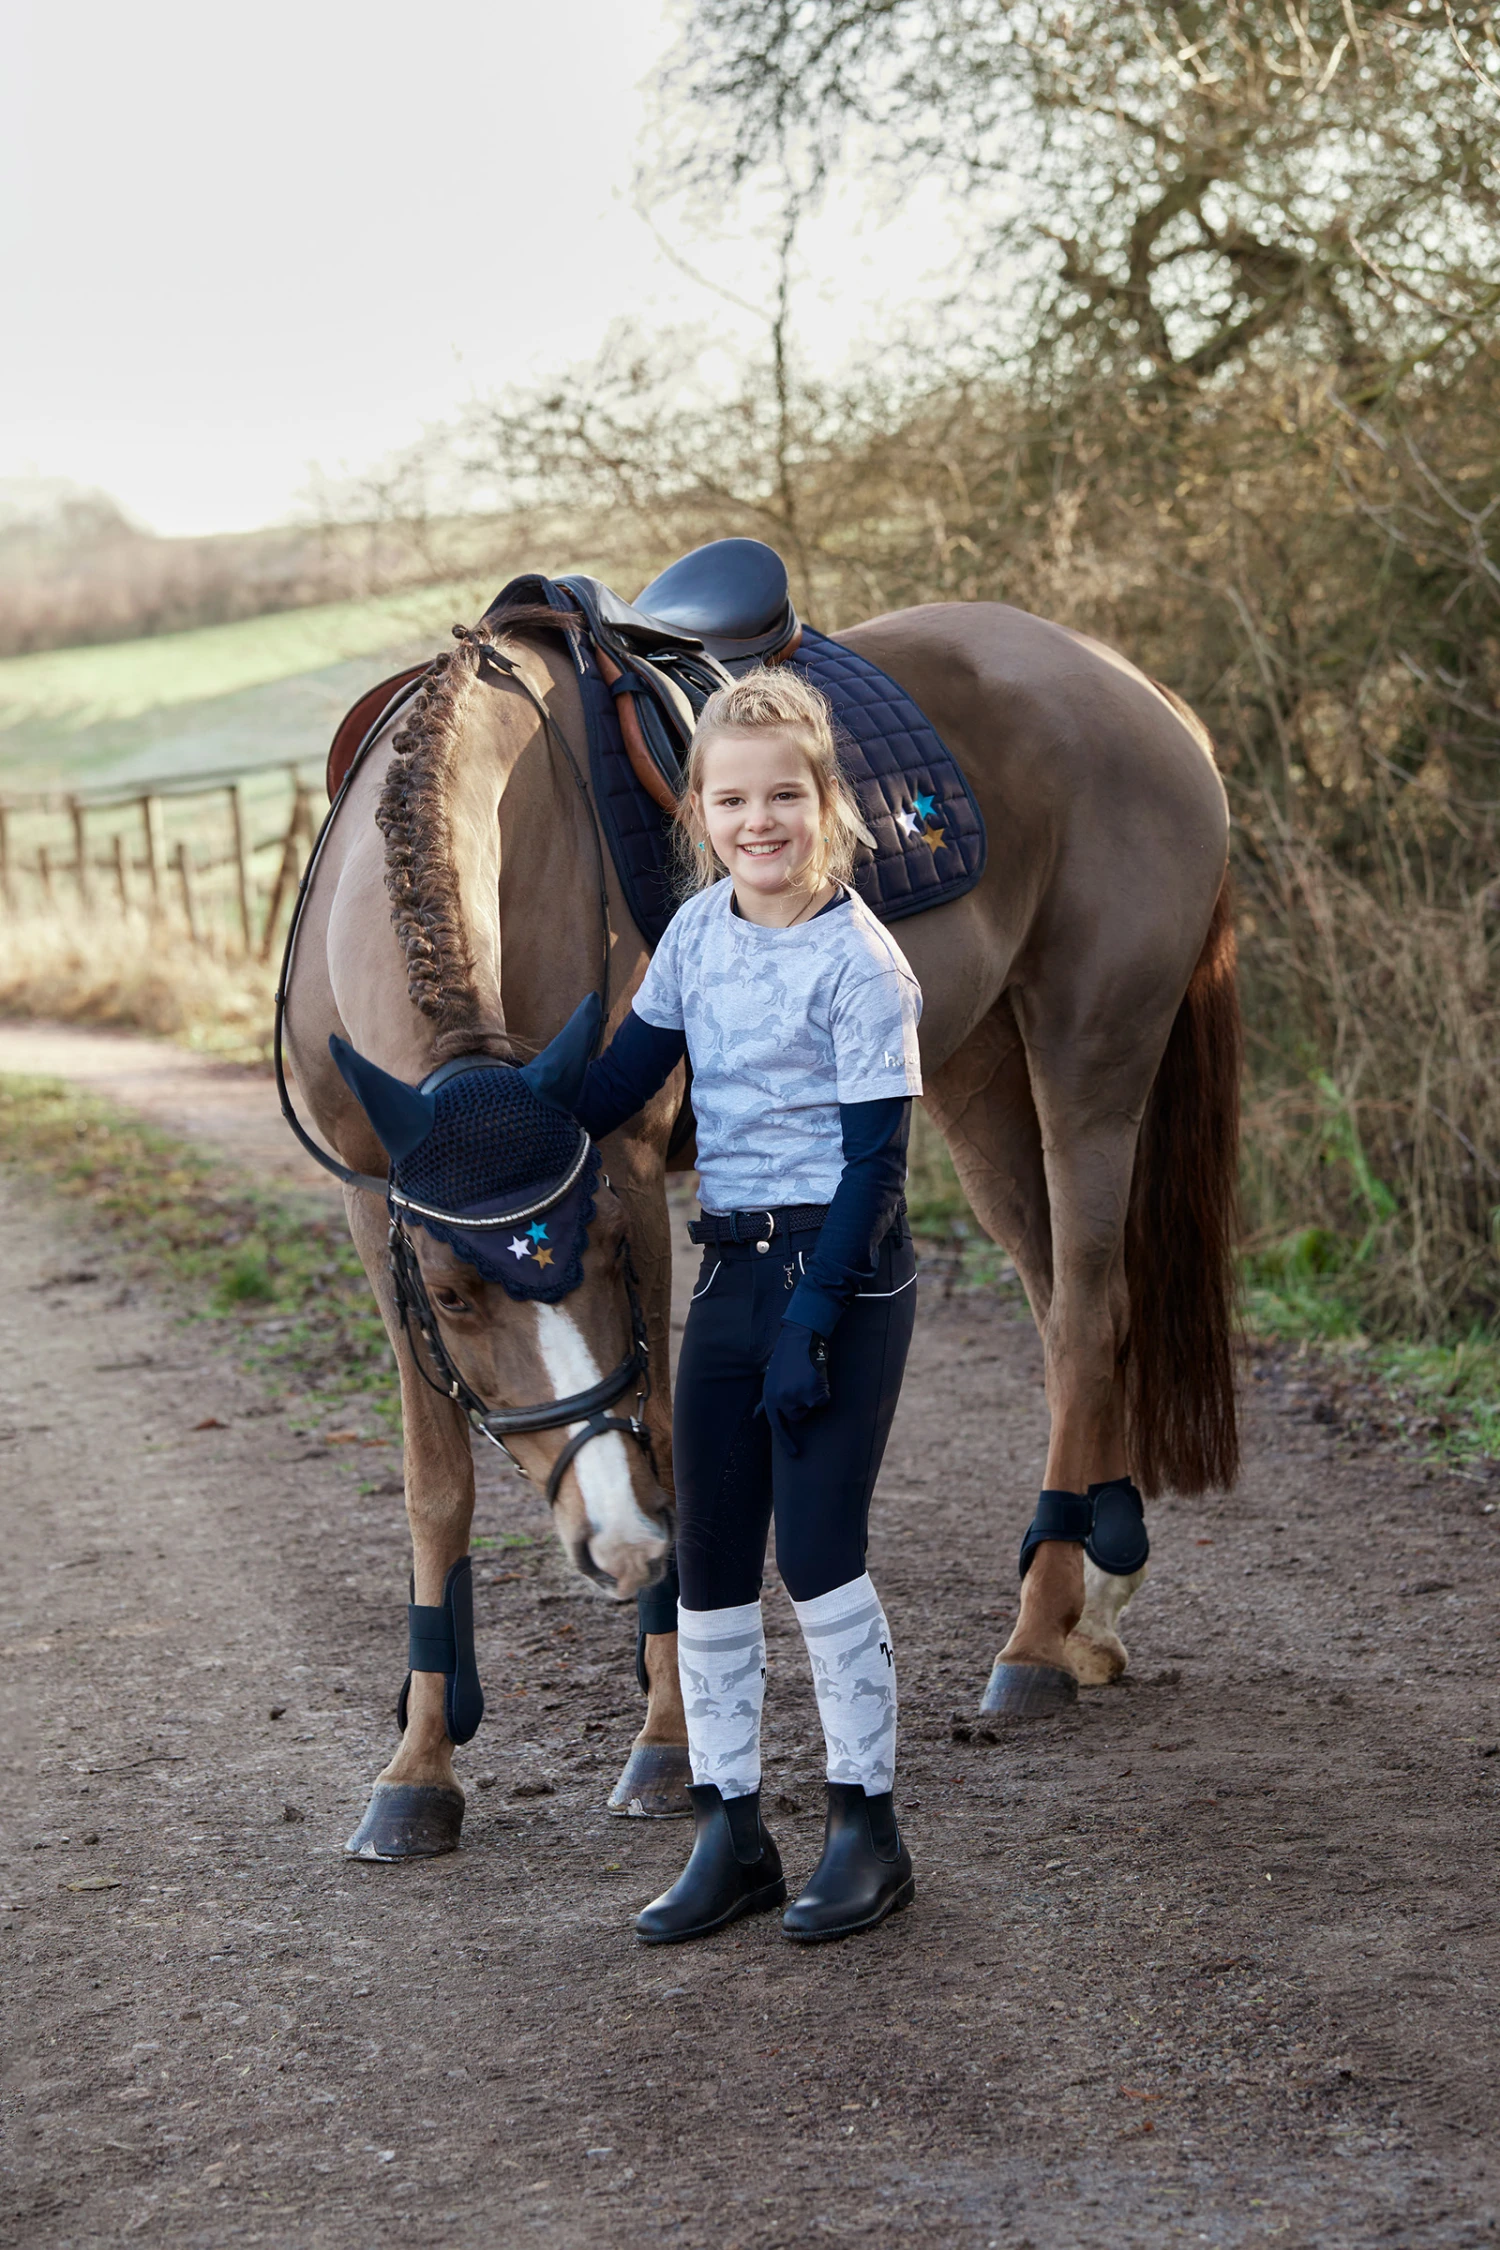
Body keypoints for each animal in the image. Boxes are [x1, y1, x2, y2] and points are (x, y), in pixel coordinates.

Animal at [282, 592, 1239, 1860]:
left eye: (598, 1254)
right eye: (451, 1295)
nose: (613, 1540)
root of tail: (1138, 688)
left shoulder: (631, 1173)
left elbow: (661, 1434)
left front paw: (665, 1743)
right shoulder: (374, 1210)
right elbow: (435, 1489)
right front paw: (419, 1772)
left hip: (1092, 1058)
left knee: (1088, 1313)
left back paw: (1035, 1643)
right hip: (977, 1078)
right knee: (1067, 1313)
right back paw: (1095, 1603)